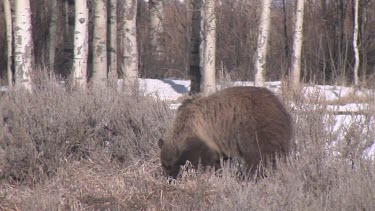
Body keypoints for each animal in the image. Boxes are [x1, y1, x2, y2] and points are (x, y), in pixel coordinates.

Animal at [159, 85, 294, 178]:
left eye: (167, 165)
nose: (169, 178)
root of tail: (280, 108)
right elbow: (217, 161)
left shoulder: (202, 139)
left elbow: (203, 161)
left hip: (255, 130)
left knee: (260, 157)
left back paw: (254, 175)